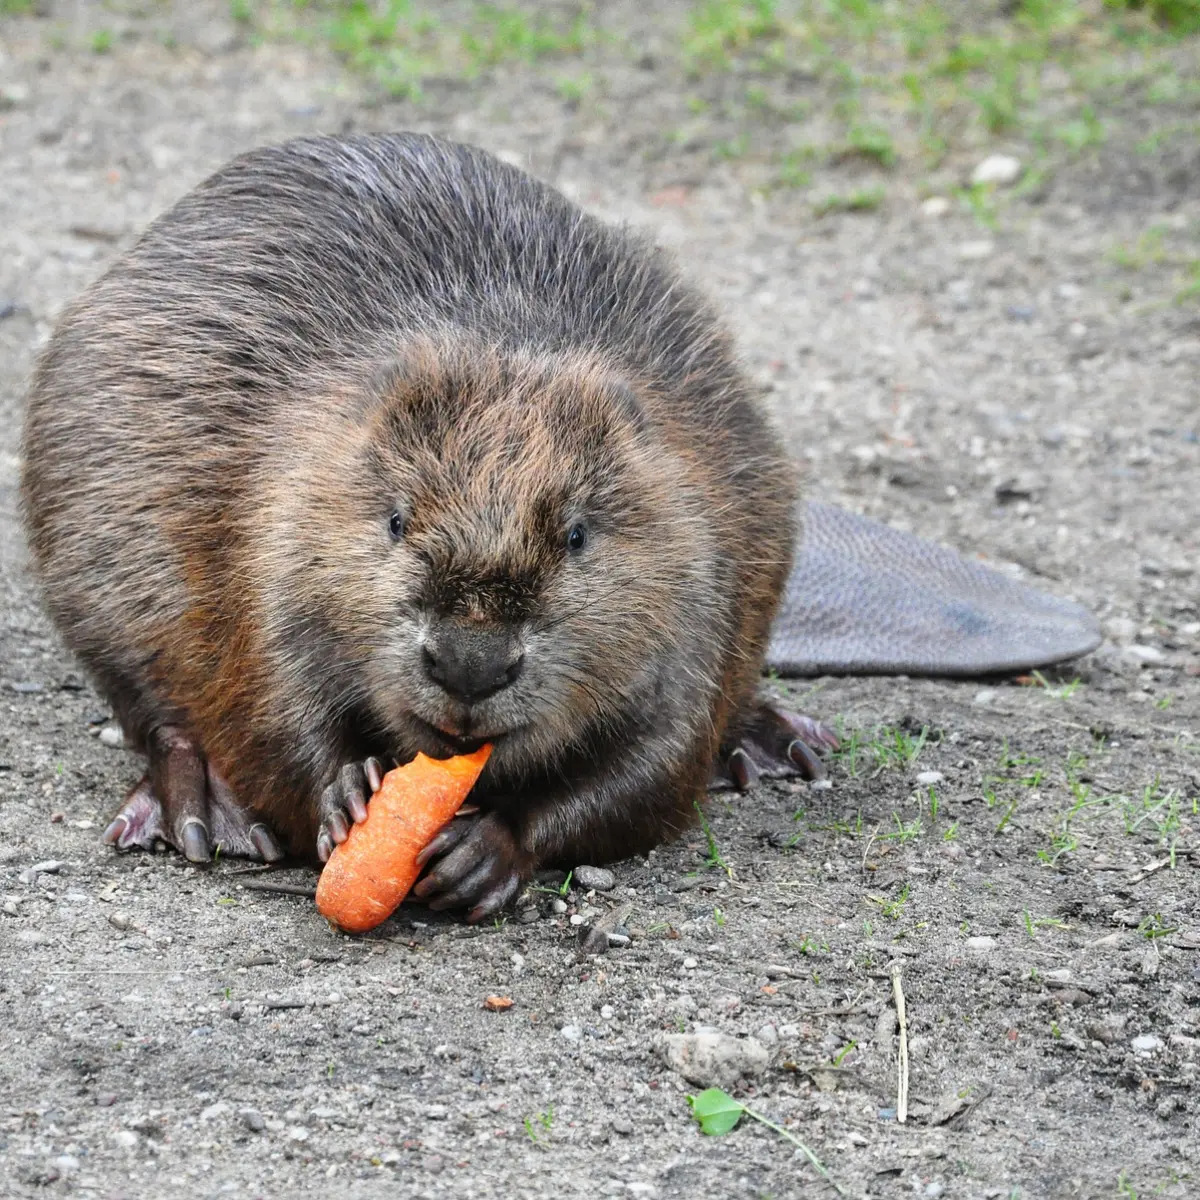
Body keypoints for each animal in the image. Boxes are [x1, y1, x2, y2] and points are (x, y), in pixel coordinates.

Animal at [18, 133, 830, 916]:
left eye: (576, 535)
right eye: (396, 519)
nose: (470, 667)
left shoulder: (703, 565)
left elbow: (659, 765)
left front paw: (484, 852)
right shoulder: (268, 535)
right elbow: (270, 712)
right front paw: (347, 795)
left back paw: (778, 744)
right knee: (152, 709)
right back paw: (201, 811)